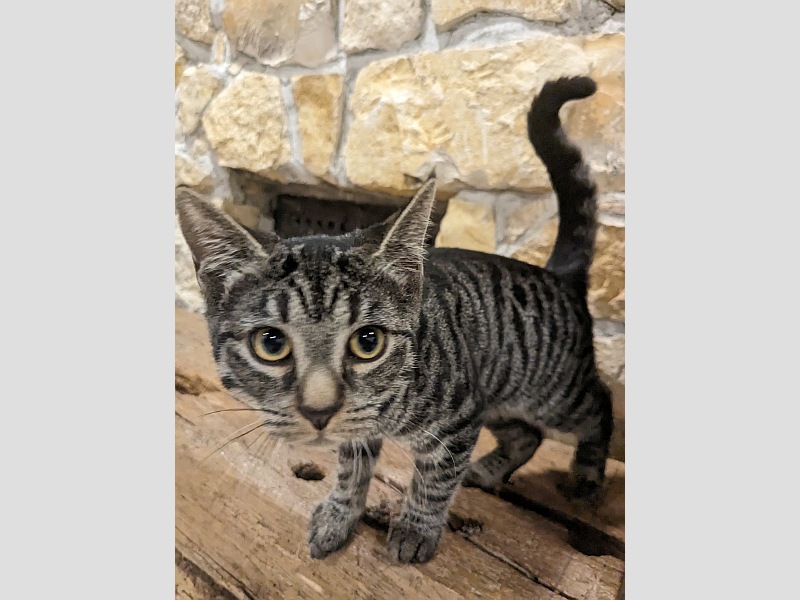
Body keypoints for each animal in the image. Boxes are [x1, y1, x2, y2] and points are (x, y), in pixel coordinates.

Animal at [176, 75, 613, 564]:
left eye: (368, 341)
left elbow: (435, 480)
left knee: (600, 405)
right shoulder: (397, 420)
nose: (319, 411)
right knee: (527, 436)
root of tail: (559, 275)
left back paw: (588, 474)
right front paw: (339, 514)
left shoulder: (461, 417)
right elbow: (351, 470)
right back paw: (489, 469)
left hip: (553, 391)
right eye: (271, 343)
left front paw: (416, 526)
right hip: (497, 394)